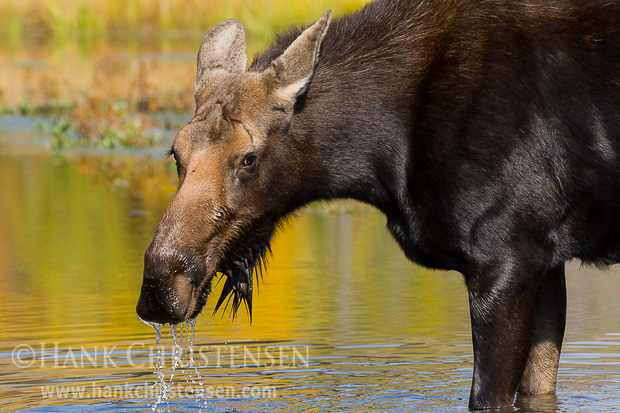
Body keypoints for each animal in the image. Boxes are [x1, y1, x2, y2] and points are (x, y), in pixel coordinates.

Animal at [138, 0, 620, 408]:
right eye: (176, 153)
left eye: (249, 158)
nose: (160, 286)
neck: (379, 163)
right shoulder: (545, 258)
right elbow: (539, 387)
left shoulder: (505, 258)